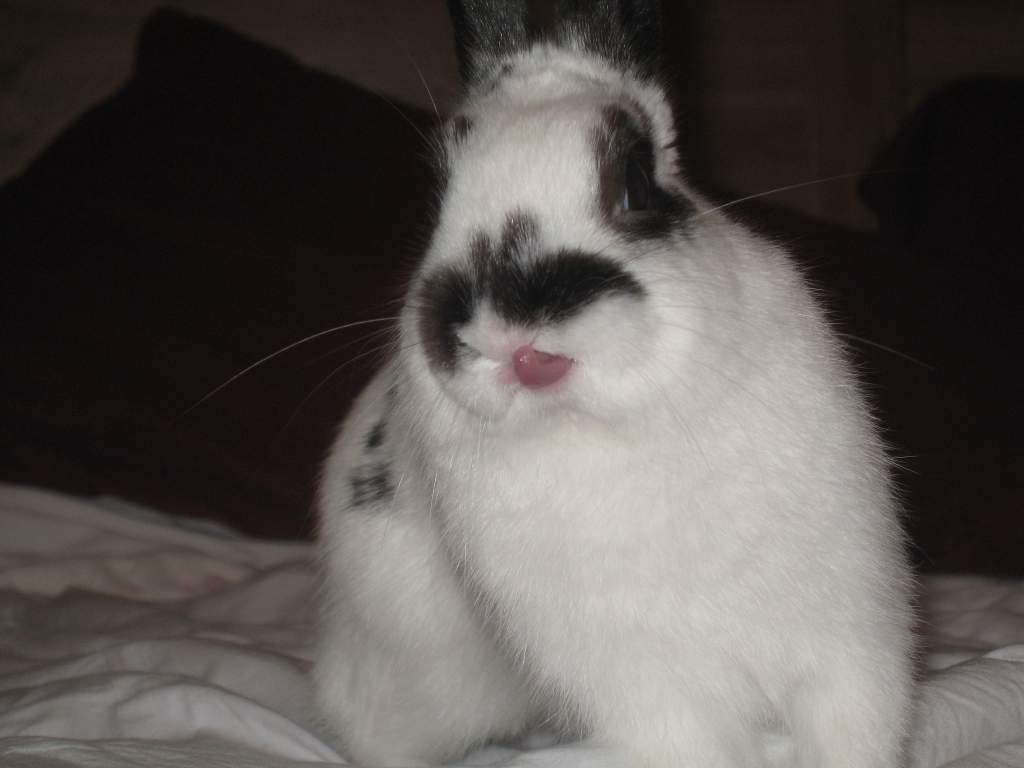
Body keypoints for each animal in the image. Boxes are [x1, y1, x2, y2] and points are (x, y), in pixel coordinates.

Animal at [312, 1, 915, 766]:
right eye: (438, 198)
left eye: (634, 182)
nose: (512, 337)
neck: (610, 425)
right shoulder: (656, 695)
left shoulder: (845, 651)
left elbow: (848, 733)